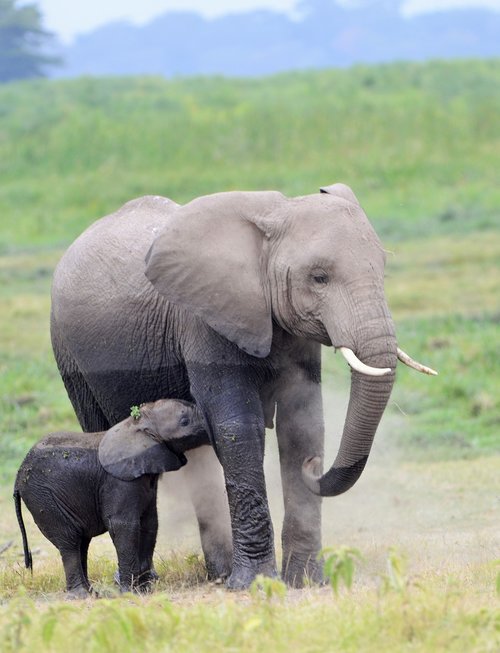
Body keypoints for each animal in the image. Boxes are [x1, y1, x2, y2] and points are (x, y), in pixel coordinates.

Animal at [14, 394, 209, 600]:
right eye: (185, 421)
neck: (136, 424)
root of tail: (18, 477)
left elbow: (150, 524)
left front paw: (144, 590)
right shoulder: (118, 481)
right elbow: (123, 526)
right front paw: (129, 593)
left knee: (81, 542)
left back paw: (93, 594)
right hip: (43, 497)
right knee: (69, 541)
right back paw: (82, 595)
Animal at [50, 185, 434, 592]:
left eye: (383, 268)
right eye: (319, 277)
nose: (315, 468)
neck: (274, 215)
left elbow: (302, 423)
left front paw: (305, 582)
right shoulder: (204, 318)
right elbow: (238, 428)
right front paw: (253, 584)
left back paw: (217, 574)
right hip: (69, 354)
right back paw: (143, 583)